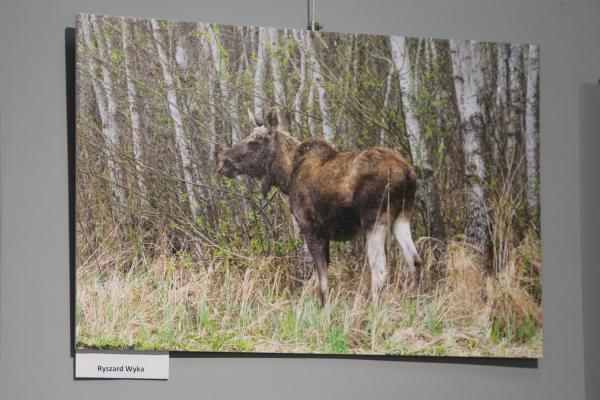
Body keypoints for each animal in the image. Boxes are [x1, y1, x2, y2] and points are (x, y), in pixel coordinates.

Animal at [217, 108, 422, 304]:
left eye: (254, 141)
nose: (222, 161)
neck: (285, 177)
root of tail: (408, 173)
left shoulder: (311, 227)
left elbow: (322, 283)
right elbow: (318, 282)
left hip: (374, 218)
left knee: (380, 271)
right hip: (401, 216)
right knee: (415, 261)